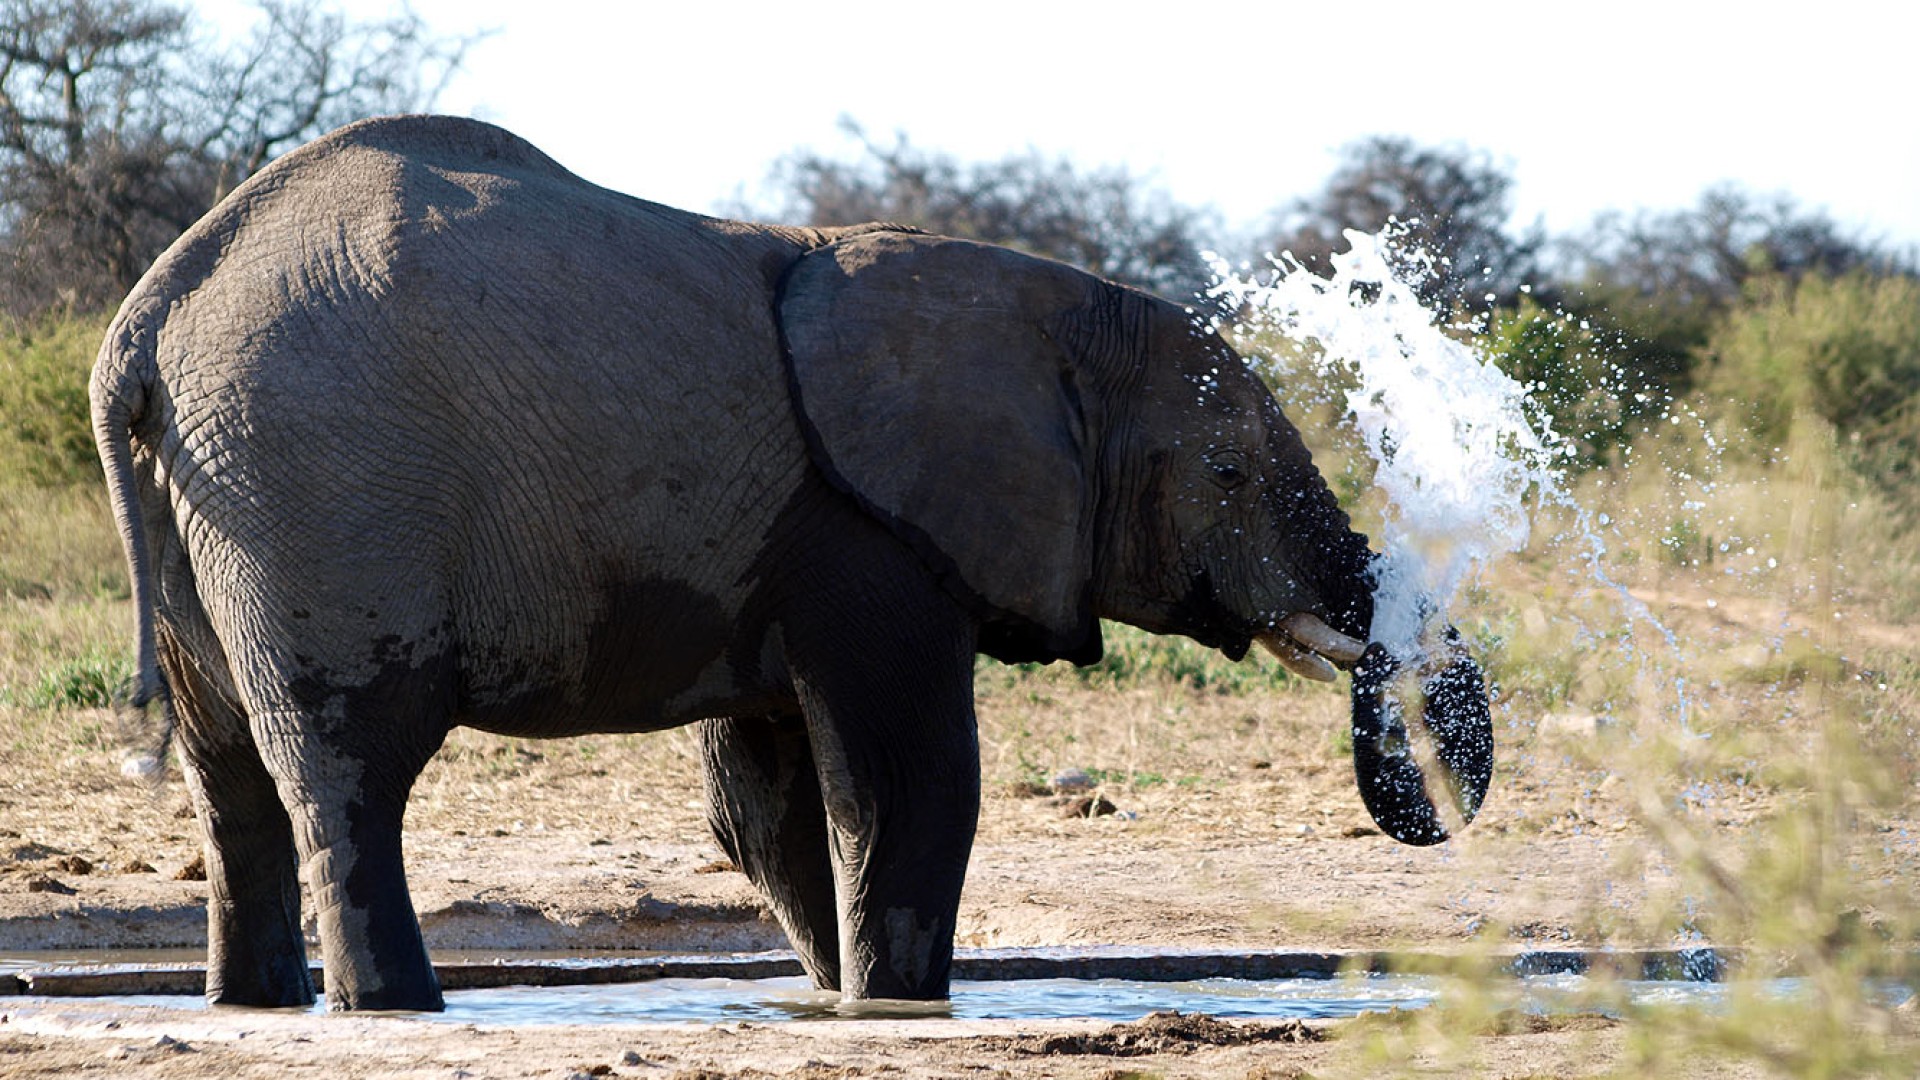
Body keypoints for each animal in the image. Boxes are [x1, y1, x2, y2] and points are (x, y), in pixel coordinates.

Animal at [91, 115, 1492, 1012]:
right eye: (1231, 478)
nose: (1424, 804)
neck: (1042, 309)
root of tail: (146, 323)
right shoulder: (870, 535)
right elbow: (909, 782)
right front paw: (895, 1007)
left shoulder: (787, 542)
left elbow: (765, 799)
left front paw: (838, 1000)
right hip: (317, 494)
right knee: (346, 774)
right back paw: (397, 1014)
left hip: (220, 508)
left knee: (231, 782)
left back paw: (256, 1012)